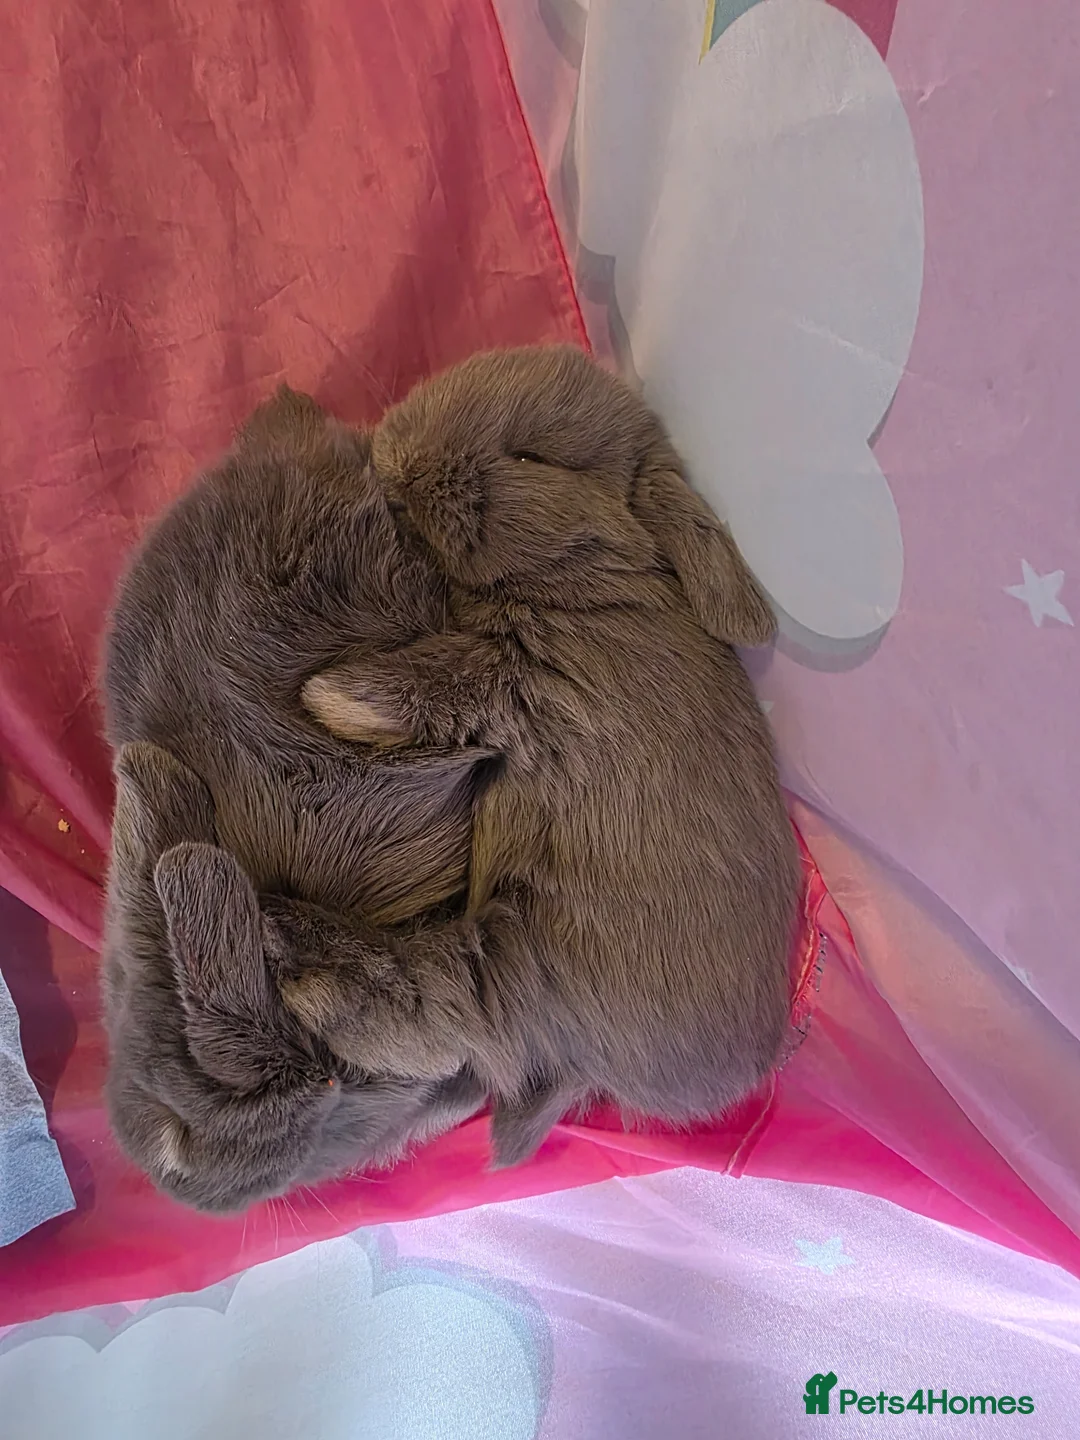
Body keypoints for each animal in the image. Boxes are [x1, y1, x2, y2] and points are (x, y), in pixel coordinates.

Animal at [285, 344, 802, 1167]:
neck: (592, 585)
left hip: (527, 956)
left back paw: (308, 975)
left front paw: (327, 697)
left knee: (447, 1011)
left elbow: (431, 683)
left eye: (530, 457)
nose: (394, 453)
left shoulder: (515, 680)